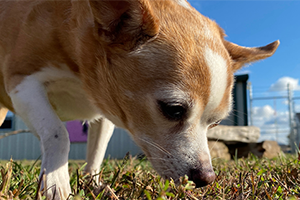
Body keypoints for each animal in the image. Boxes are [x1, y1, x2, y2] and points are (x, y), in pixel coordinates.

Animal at [0, 0, 278, 198]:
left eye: (216, 124)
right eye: (174, 110)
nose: (206, 178)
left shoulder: (107, 112)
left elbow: (97, 151)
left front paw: (93, 184)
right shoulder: (21, 84)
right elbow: (58, 133)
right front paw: (56, 184)